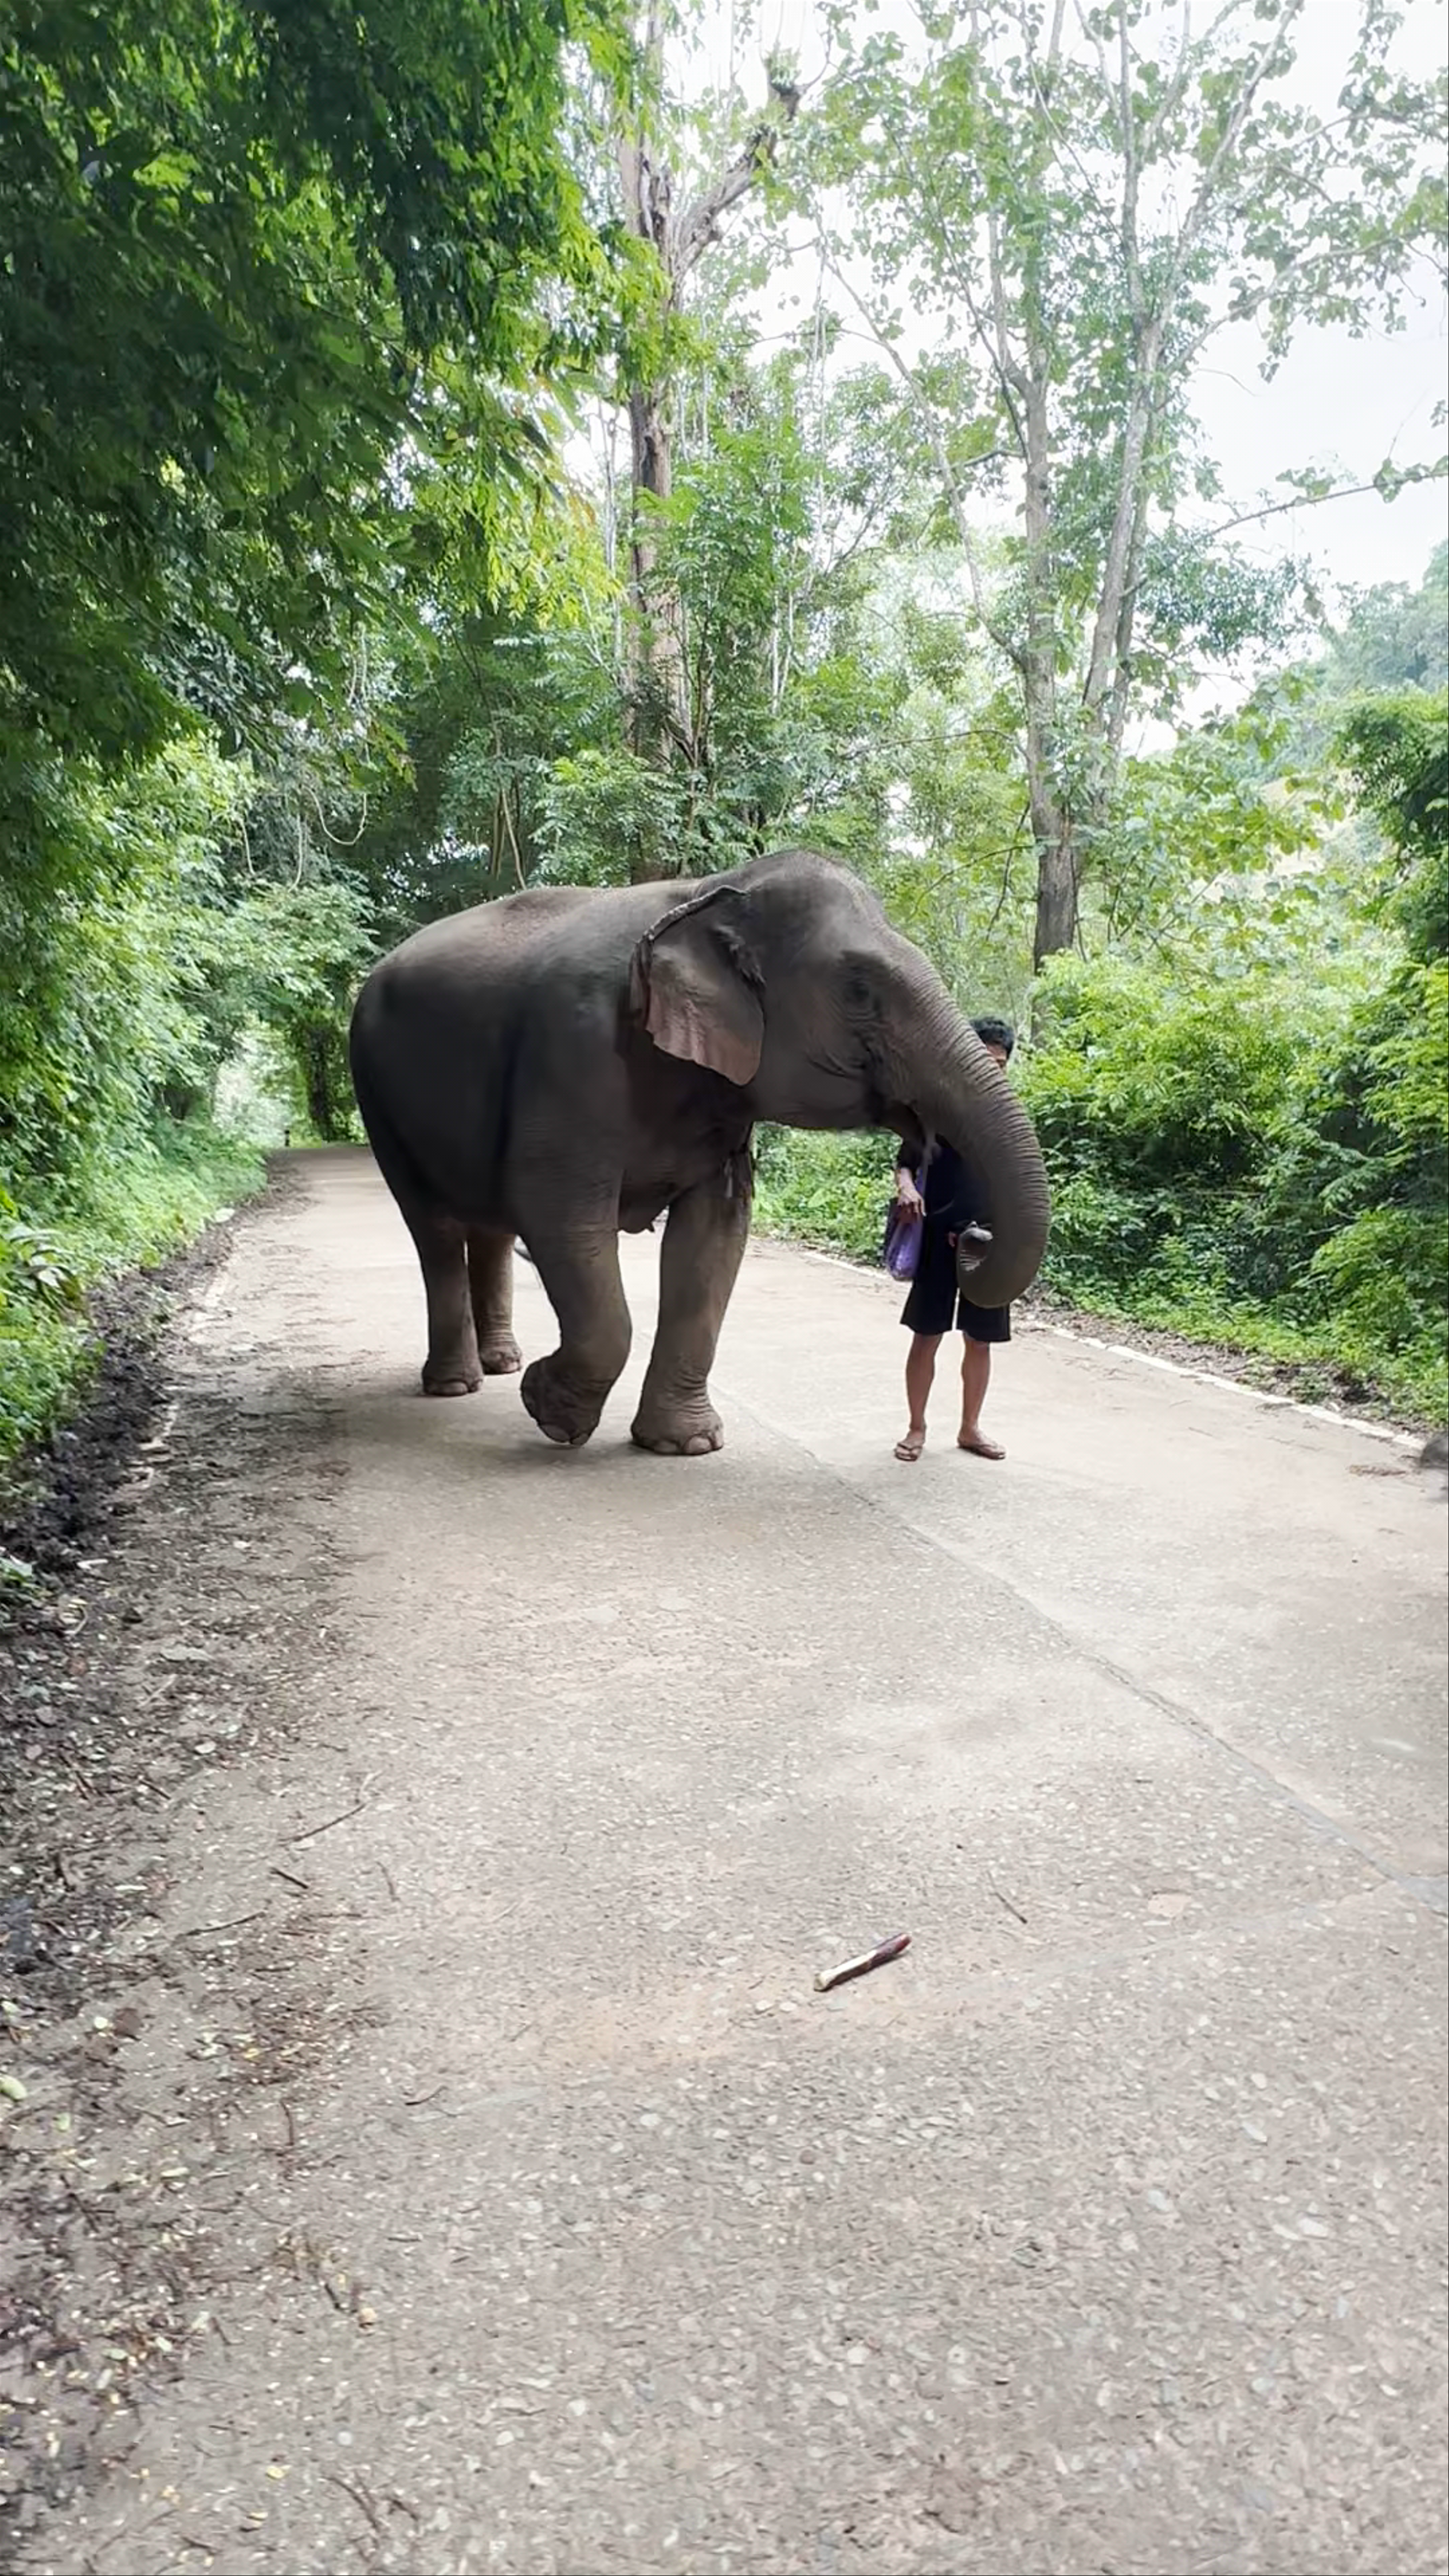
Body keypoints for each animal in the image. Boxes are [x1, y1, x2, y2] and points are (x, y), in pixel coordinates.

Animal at [347, 846, 1050, 1455]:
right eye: (858, 989)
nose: (972, 1237)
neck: (709, 891)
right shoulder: (571, 1051)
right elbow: (556, 1211)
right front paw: (549, 1410)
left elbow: (715, 1234)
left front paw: (683, 1445)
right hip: (375, 1089)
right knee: (434, 1227)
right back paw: (455, 1384)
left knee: (488, 1225)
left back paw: (502, 1363)